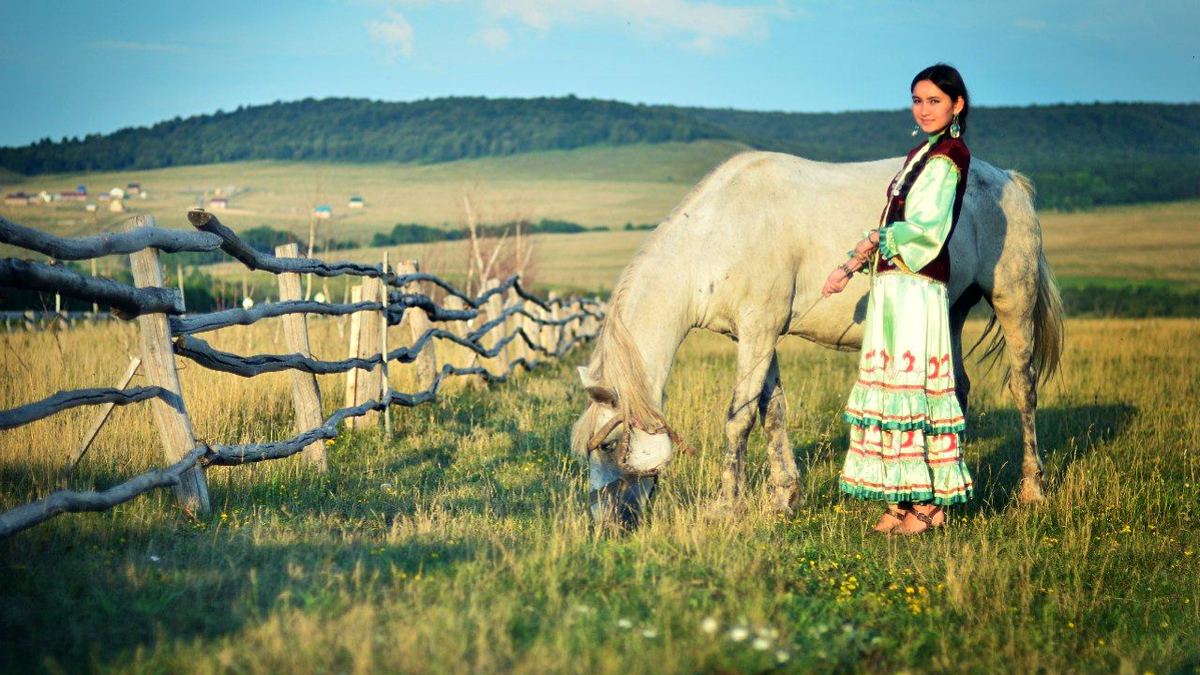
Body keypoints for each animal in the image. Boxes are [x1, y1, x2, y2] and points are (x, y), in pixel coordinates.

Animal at [576, 149, 1065, 523]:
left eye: (610, 445)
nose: (605, 525)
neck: (718, 234)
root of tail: (1009, 180)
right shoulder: (758, 338)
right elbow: (773, 413)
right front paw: (784, 499)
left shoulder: (758, 332)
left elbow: (739, 420)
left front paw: (725, 507)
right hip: (952, 311)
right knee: (956, 390)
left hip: (1012, 302)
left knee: (1023, 390)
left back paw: (1031, 490)